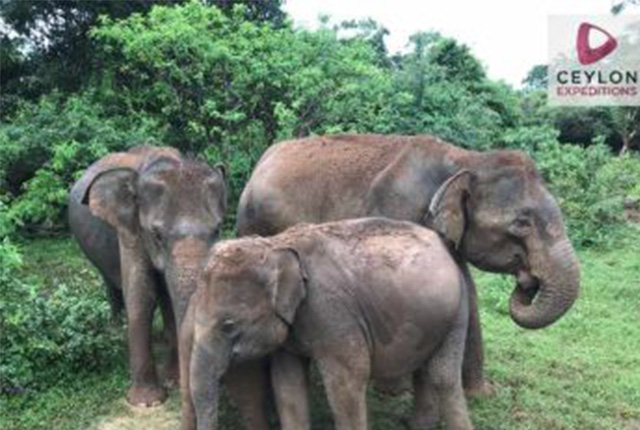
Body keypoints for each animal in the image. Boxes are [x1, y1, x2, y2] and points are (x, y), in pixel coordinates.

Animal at [68, 146, 228, 407]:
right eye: (157, 234)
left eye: (217, 229)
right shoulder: (130, 229)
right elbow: (141, 294)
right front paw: (147, 402)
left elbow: (165, 295)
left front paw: (173, 381)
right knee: (111, 283)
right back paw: (116, 328)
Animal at [182, 218, 477, 430]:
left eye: (229, 326)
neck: (275, 245)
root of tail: (443, 245)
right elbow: (287, 382)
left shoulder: (333, 313)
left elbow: (346, 381)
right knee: (427, 369)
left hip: (457, 306)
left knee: (443, 376)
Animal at [237, 133, 582, 396]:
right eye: (522, 223)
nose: (527, 281)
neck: (464, 160)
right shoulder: (397, 210)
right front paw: (396, 391)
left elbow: (467, 291)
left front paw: (480, 394)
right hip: (252, 219)